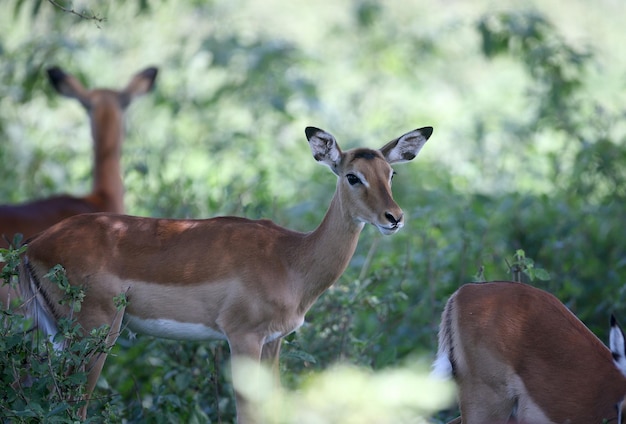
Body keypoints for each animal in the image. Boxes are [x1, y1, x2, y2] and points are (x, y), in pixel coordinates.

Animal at [18, 125, 428, 420]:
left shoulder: (273, 342)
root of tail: (33, 244)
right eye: (352, 176)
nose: (394, 218)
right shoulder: (242, 337)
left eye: (390, 172)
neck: (291, 259)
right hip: (95, 333)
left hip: (56, 335)